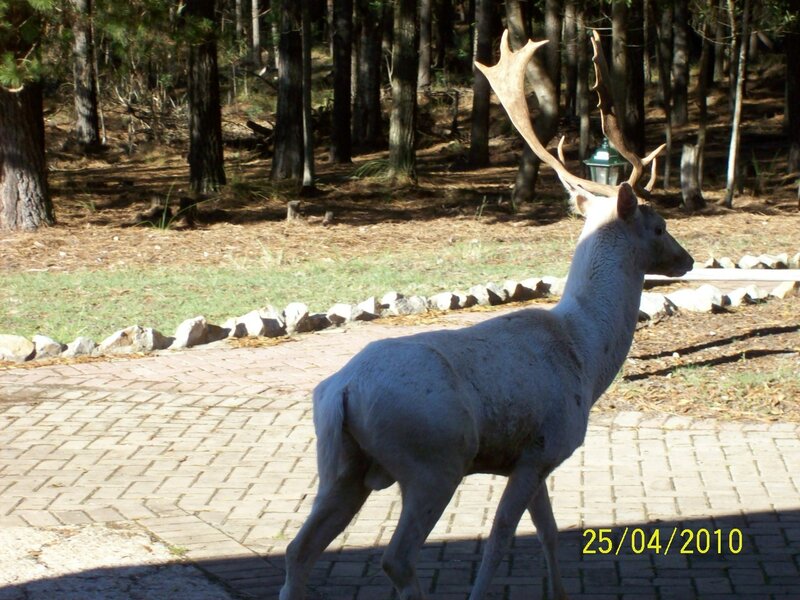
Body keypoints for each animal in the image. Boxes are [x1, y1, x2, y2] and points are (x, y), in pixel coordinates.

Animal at [280, 30, 693, 600]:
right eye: (659, 226)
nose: (687, 259)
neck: (586, 354)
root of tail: (341, 392)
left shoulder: (532, 458)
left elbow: (548, 530)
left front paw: (561, 592)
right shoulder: (543, 445)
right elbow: (500, 537)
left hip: (339, 466)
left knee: (298, 551)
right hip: (434, 461)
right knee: (396, 558)